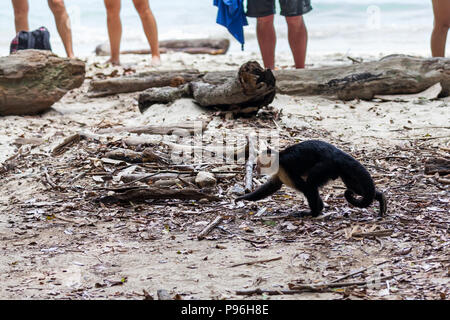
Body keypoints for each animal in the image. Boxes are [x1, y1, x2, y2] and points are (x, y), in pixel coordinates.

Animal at [236, 140, 386, 218]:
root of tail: (337, 153)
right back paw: (380, 197)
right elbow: (272, 187)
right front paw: (244, 198)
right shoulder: (280, 172)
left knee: (311, 183)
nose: (256, 168)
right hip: (341, 168)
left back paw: (313, 212)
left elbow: (306, 187)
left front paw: (317, 211)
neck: (278, 159)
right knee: (355, 187)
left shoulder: (284, 168)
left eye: (259, 164)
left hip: (326, 165)